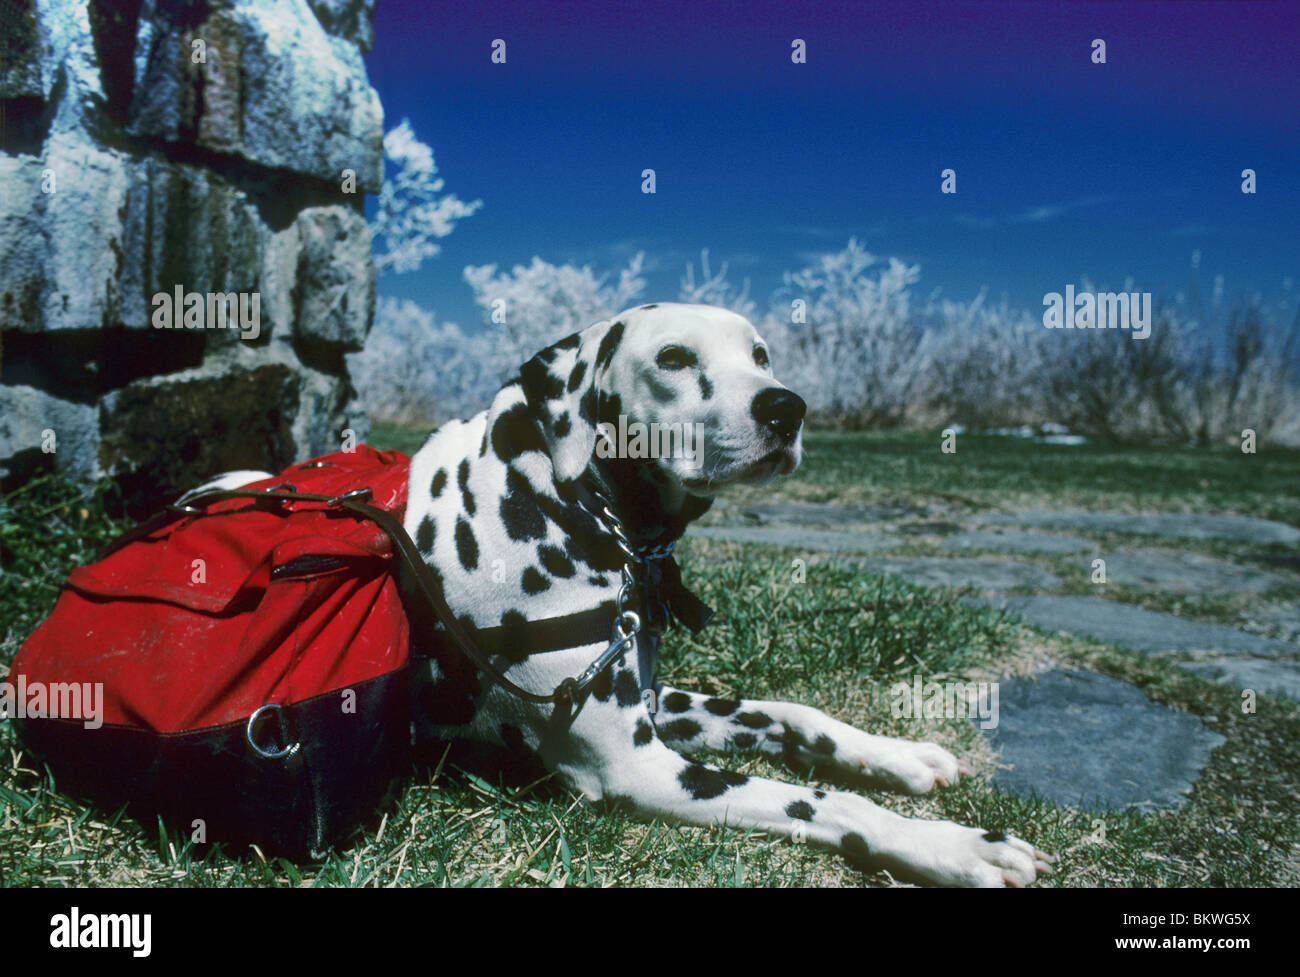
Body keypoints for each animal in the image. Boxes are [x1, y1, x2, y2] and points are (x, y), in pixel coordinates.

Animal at [392, 304, 1045, 883]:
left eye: (760, 355)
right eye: (673, 358)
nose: (787, 407)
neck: (561, 500)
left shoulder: (654, 701)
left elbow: (793, 711)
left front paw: (893, 753)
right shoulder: (634, 766)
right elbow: (823, 800)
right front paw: (951, 846)